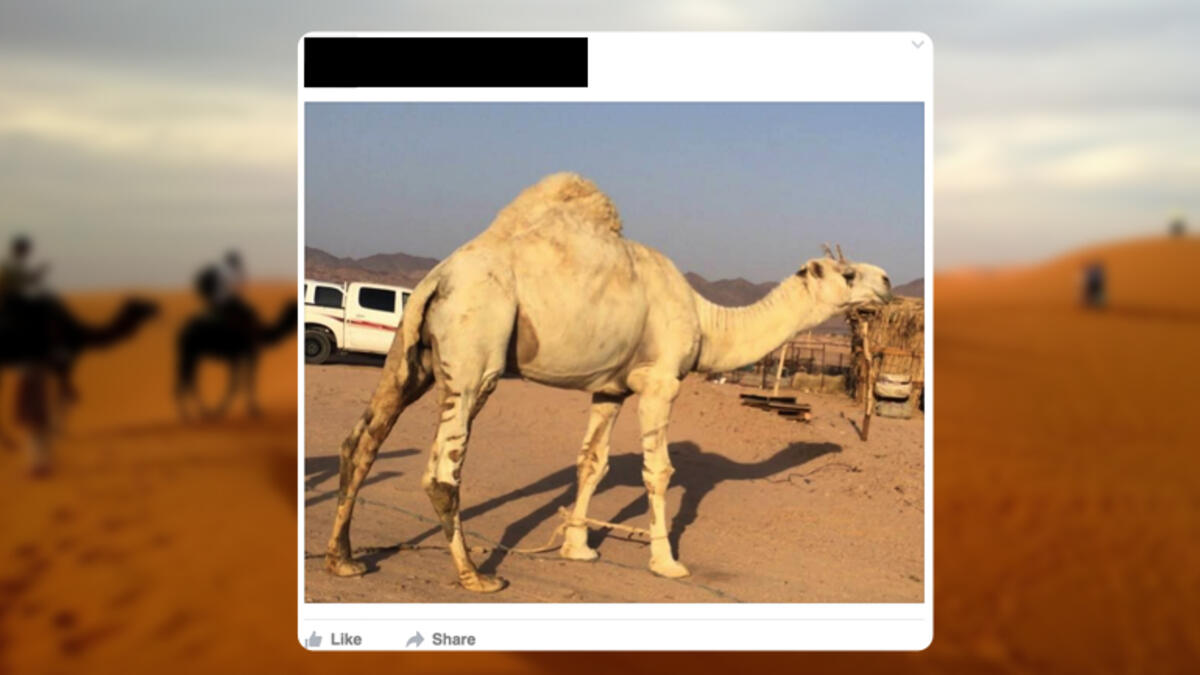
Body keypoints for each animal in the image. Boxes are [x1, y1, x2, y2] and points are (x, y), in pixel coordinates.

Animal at [324, 173, 893, 592]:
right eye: (847, 274)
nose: (887, 280)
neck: (707, 321)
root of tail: (438, 277)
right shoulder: (660, 382)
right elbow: (658, 471)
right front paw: (667, 561)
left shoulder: (611, 388)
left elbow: (591, 463)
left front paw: (577, 548)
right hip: (475, 351)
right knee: (442, 469)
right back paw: (475, 576)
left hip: (411, 356)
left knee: (361, 440)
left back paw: (343, 560)